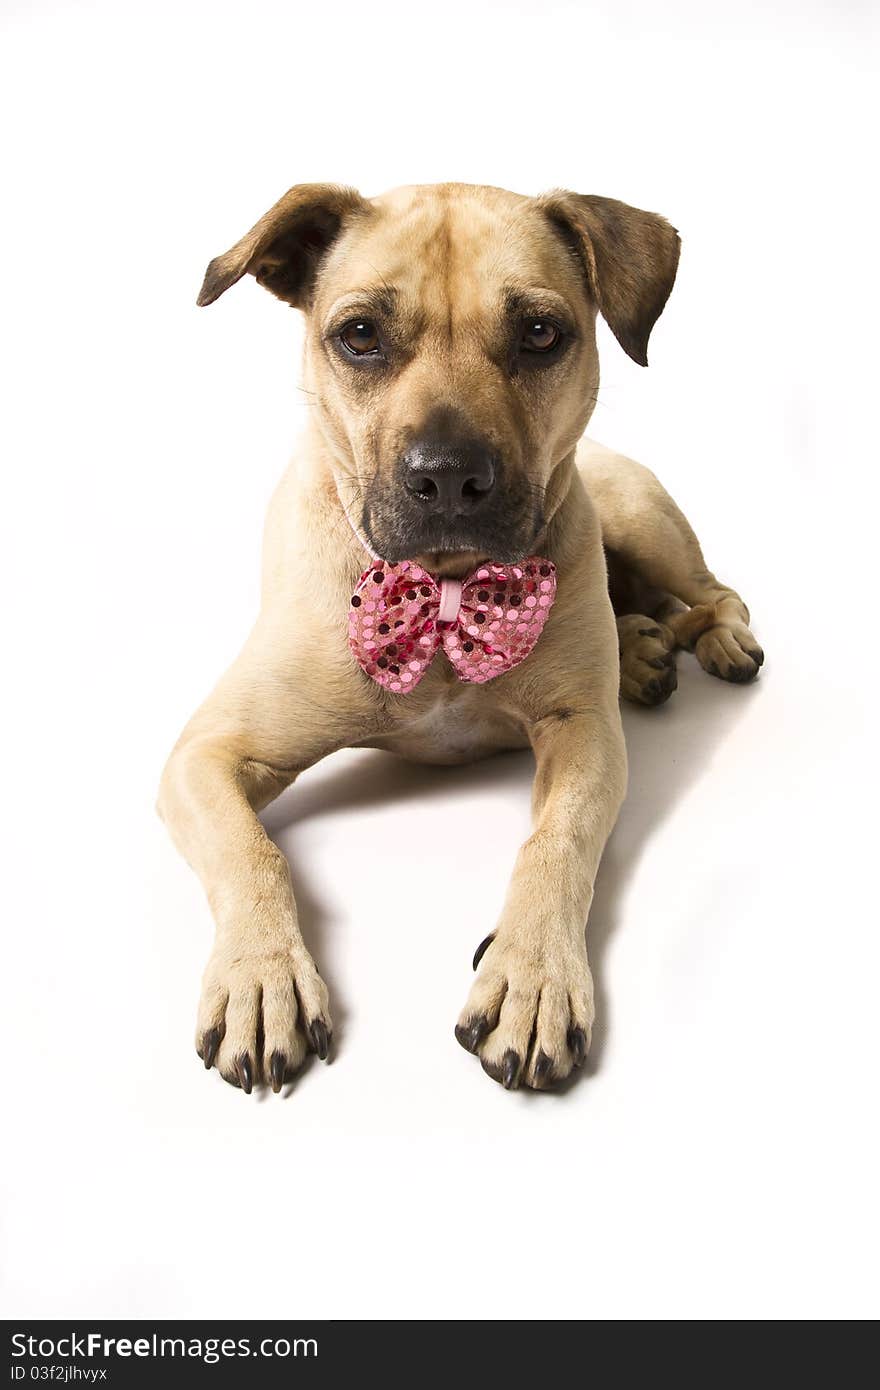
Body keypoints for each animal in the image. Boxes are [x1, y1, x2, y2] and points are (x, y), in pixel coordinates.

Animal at [159, 179, 761, 1095]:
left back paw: (713, 640)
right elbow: (249, 851)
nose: (446, 476)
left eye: (540, 333)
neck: (444, 595)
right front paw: (261, 975)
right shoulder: (207, 756)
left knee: (715, 593)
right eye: (360, 335)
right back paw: (644, 649)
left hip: (639, 516)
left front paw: (533, 975)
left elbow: (557, 842)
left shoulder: (586, 738)